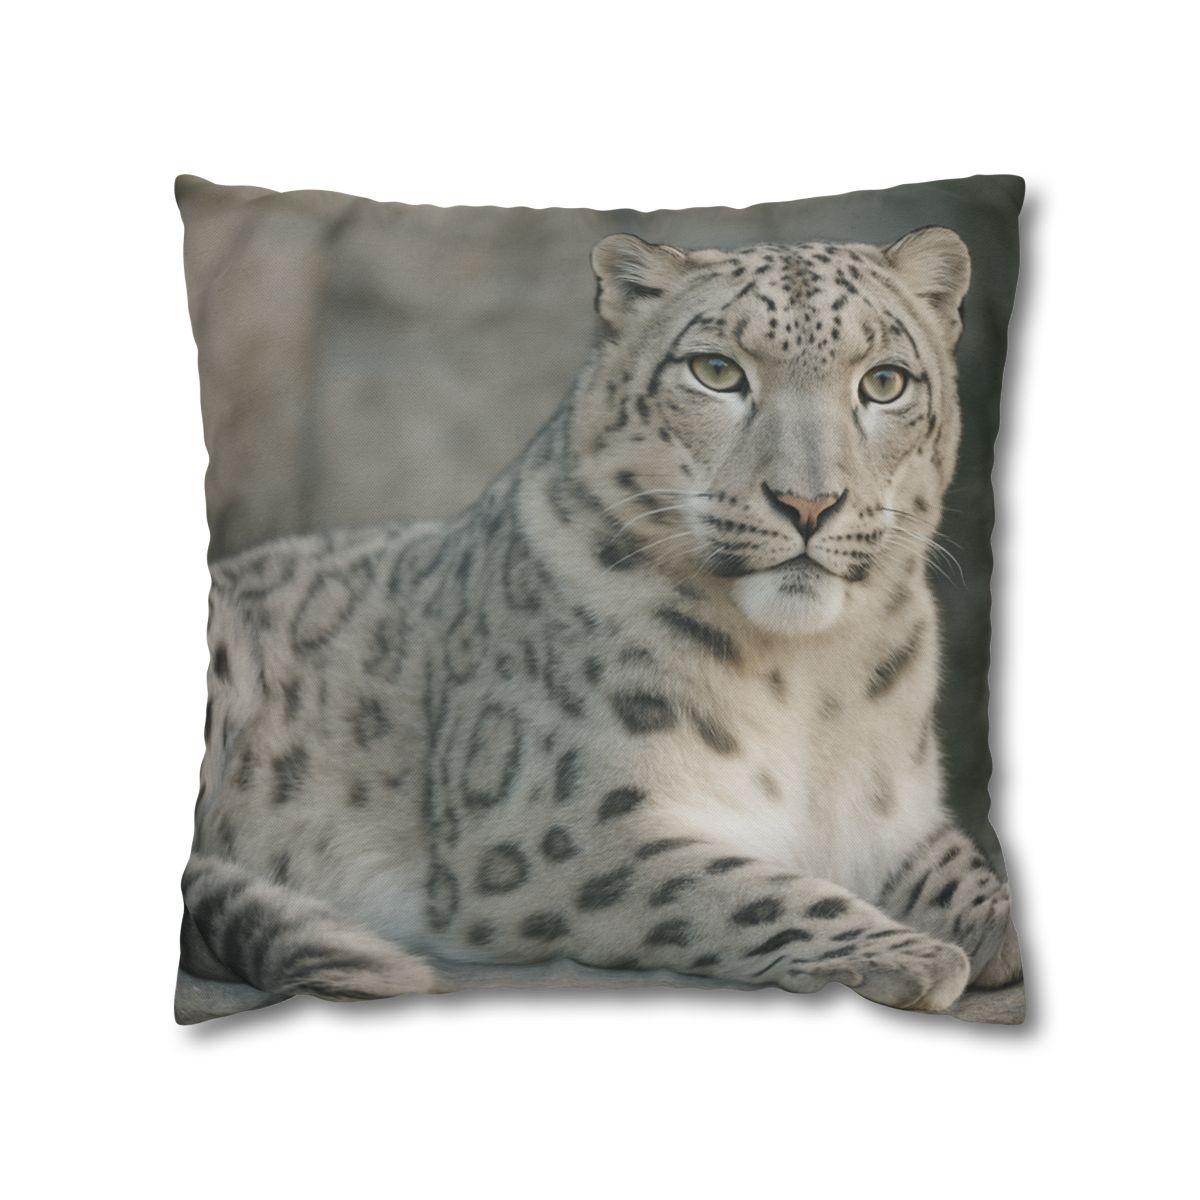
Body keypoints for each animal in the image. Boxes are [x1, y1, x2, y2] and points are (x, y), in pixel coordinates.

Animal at [177, 226, 1022, 1024]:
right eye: (717, 371)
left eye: (884, 381)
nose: (808, 503)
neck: (809, 674)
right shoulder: (560, 824)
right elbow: (739, 888)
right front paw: (912, 955)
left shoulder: (891, 810)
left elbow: (958, 862)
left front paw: (1005, 929)